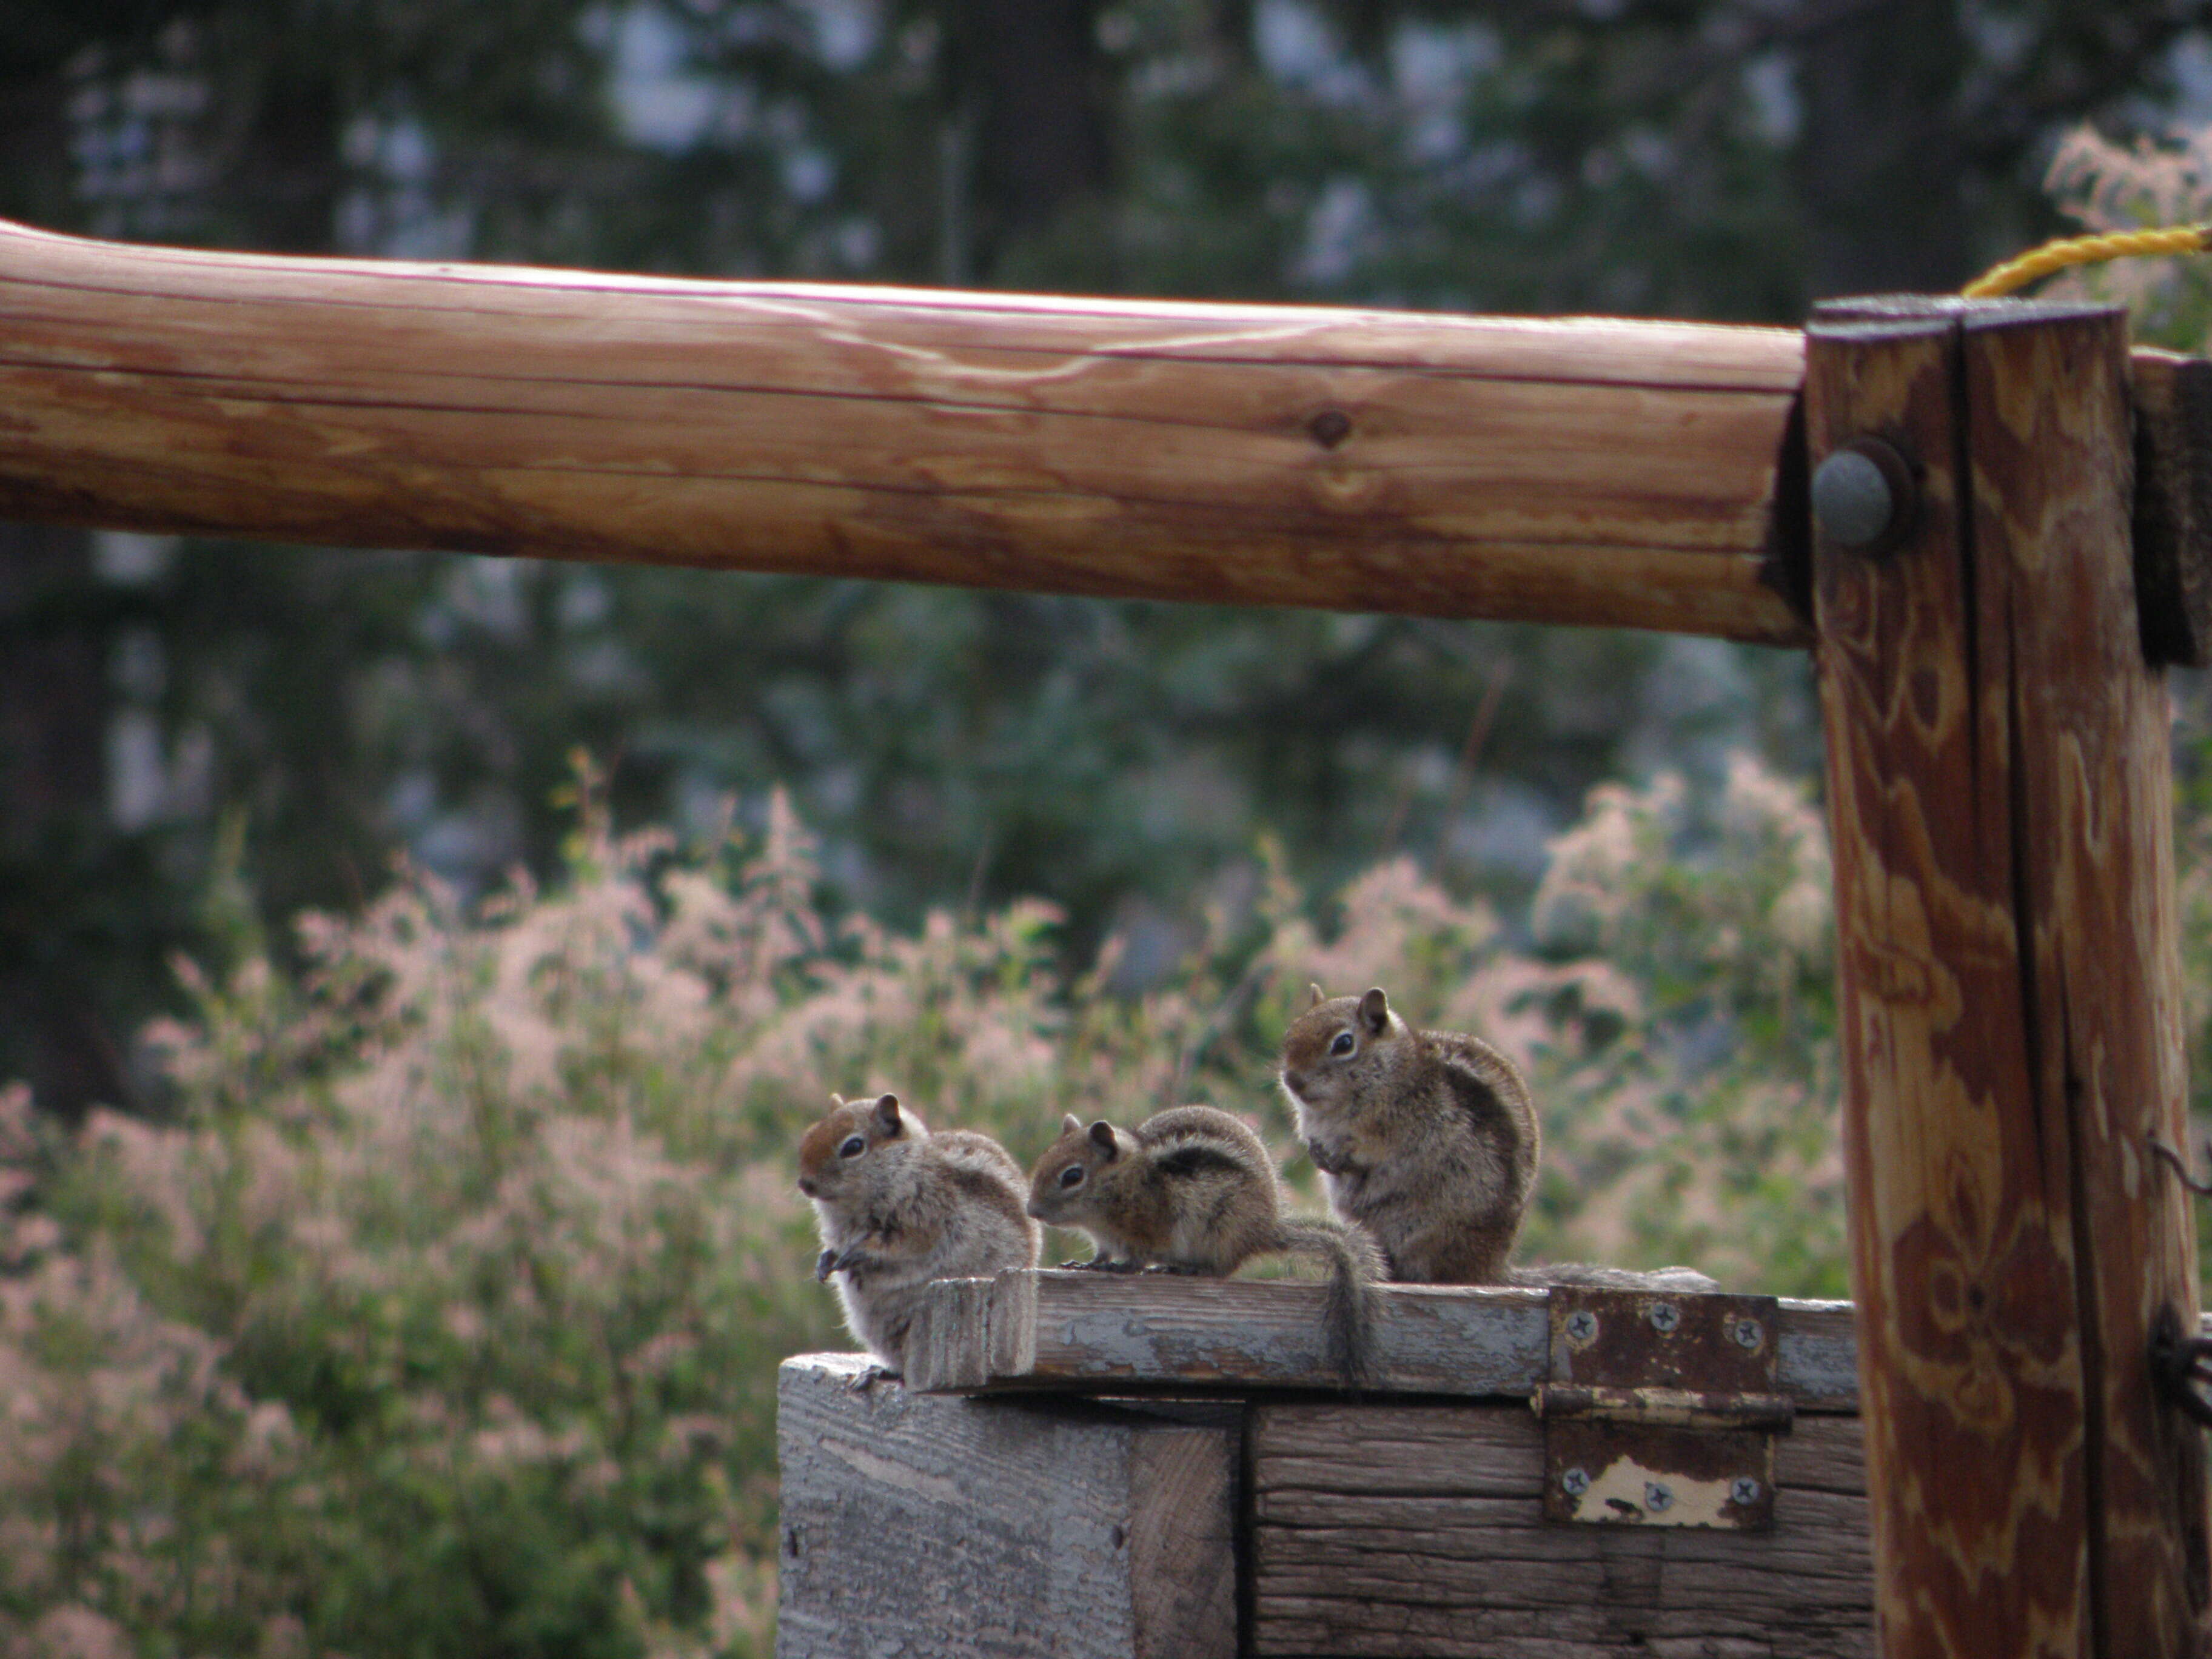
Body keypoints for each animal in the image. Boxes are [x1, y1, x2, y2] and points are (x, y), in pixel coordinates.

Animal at [796, 1093, 1035, 1380]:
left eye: (853, 1147)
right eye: (810, 1134)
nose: (805, 1184)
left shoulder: (927, 1219)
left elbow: (902, 1245)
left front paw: (859, 1253)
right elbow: (834, 1249)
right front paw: (825, 1262)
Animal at [1022, 1106, 1371, 1389]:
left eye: (1073, 1176)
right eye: (1043, 1159)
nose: (1032, 1211)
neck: (1126, 1181)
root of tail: (1264, 1229)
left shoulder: (1149, 1230)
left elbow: (1136, 1258)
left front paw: (1120, 1267)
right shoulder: (1106, 1239)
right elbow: (1101, 1254)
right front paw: (1087, 1265)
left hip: (1220, 1228)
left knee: (1222, 1269)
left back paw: (1187, 1267)